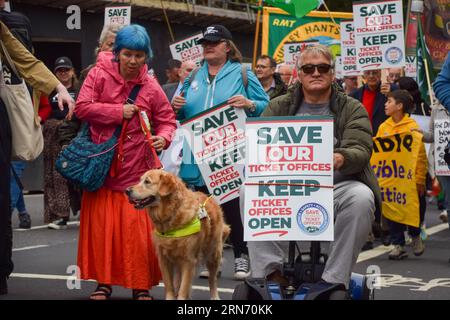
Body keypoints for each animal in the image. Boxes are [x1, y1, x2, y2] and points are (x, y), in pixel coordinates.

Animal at [127, 170, 230, 300]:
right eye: (140, 180)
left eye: (147, 182)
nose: (127, 190)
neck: (172, 214)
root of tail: (209, 197)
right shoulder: (164, 259)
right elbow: (170, 285)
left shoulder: (189, 260)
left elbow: (184, 287)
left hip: (213, 254)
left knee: (212, 279)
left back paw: (214, 296)